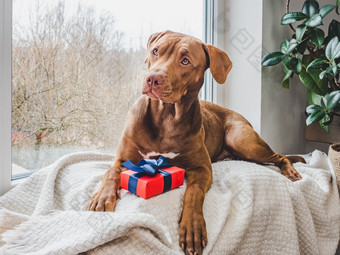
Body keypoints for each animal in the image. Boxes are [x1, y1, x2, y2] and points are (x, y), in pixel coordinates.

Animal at [88, 30, 306, 254]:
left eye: (185, 61)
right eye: (156, 51)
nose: (152, 78)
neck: (167, 117)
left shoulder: (202, 169)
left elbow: (193, 193)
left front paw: (192, 228)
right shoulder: (123, 159)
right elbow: (111, 173)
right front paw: (103, 197)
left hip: (242, 140)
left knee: (280, 156)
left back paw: (290, 171)